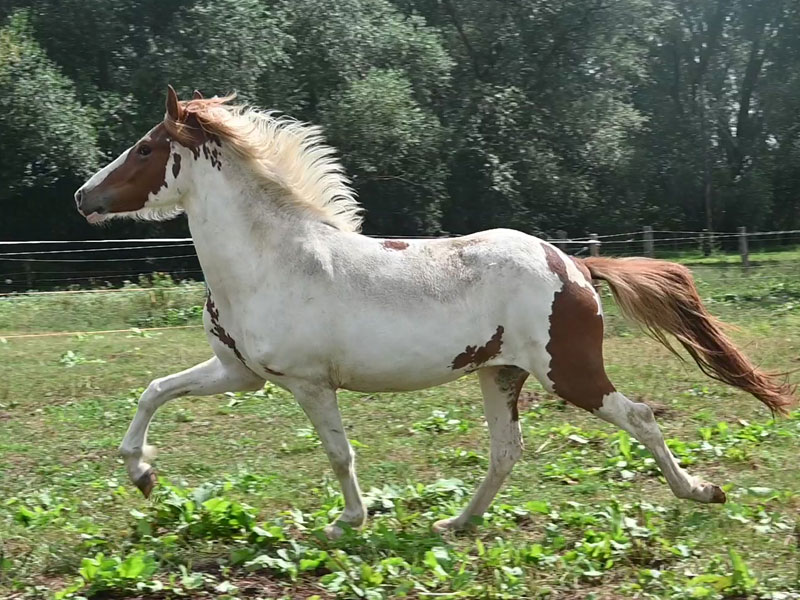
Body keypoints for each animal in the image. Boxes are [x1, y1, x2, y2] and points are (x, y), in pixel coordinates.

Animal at [75, 86, 794, 538]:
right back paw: (457, 522)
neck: (270, 261)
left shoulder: (308, 383)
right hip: (500, 373)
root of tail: (575, 266)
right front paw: (142, 473)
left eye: (144, 147)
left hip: (569, 373)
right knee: (505, 453)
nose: (83, 196)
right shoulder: (239, 373)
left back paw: (701, 492)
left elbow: (340, 455)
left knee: (639, 417)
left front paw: (346, 522)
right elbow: (154, 390)